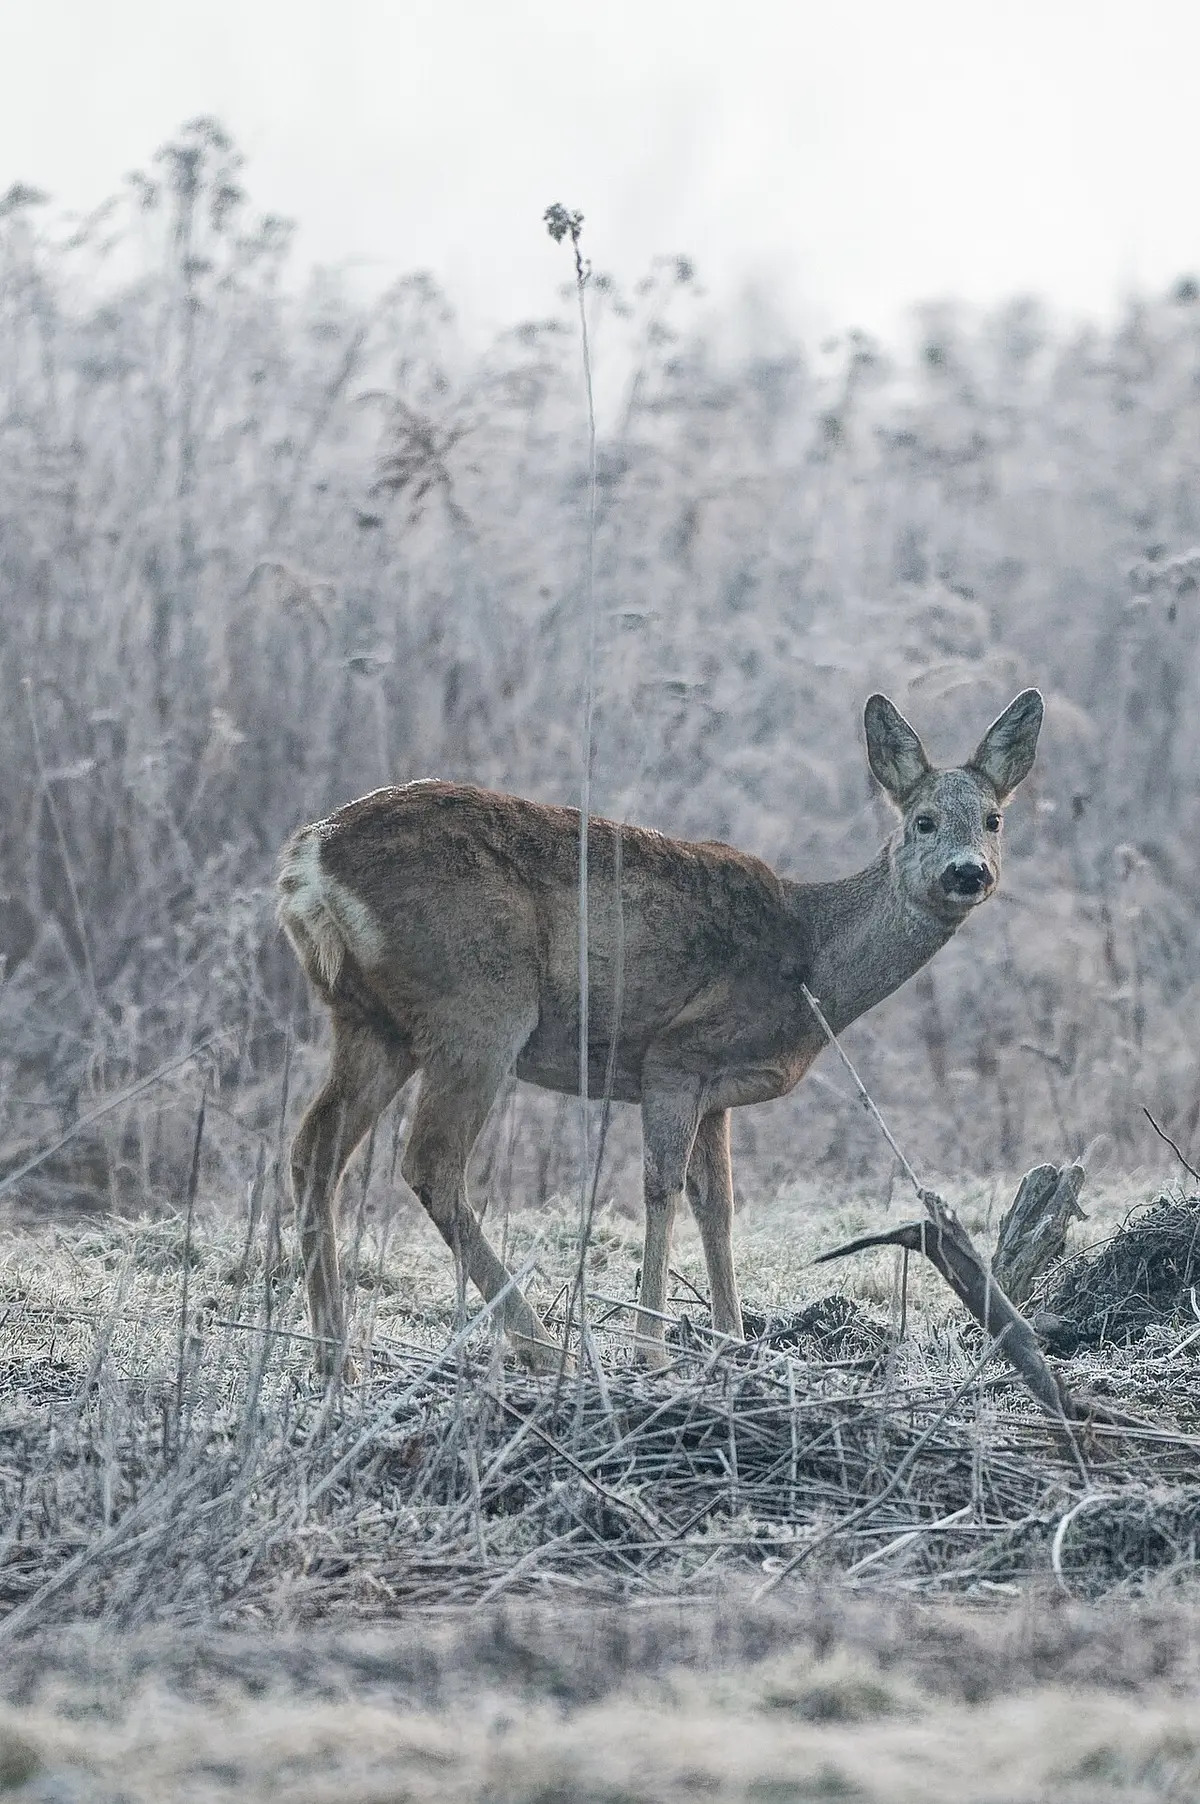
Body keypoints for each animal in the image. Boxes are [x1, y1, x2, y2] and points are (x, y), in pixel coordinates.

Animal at [278, 687, 1043, 1380]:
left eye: (995, 819)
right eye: (923, 820)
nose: (968, 871)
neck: (807, 958)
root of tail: (308, 861)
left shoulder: (717, 1091)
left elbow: (718, 1205)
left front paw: (734, 1341)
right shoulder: (676, 1054)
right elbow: (661, 1188)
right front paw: (652, 1349)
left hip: (371, 1021)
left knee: (315, 1148)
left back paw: (335, 1360)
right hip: (479, 1004)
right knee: (430, 1162)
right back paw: (543, 1346)